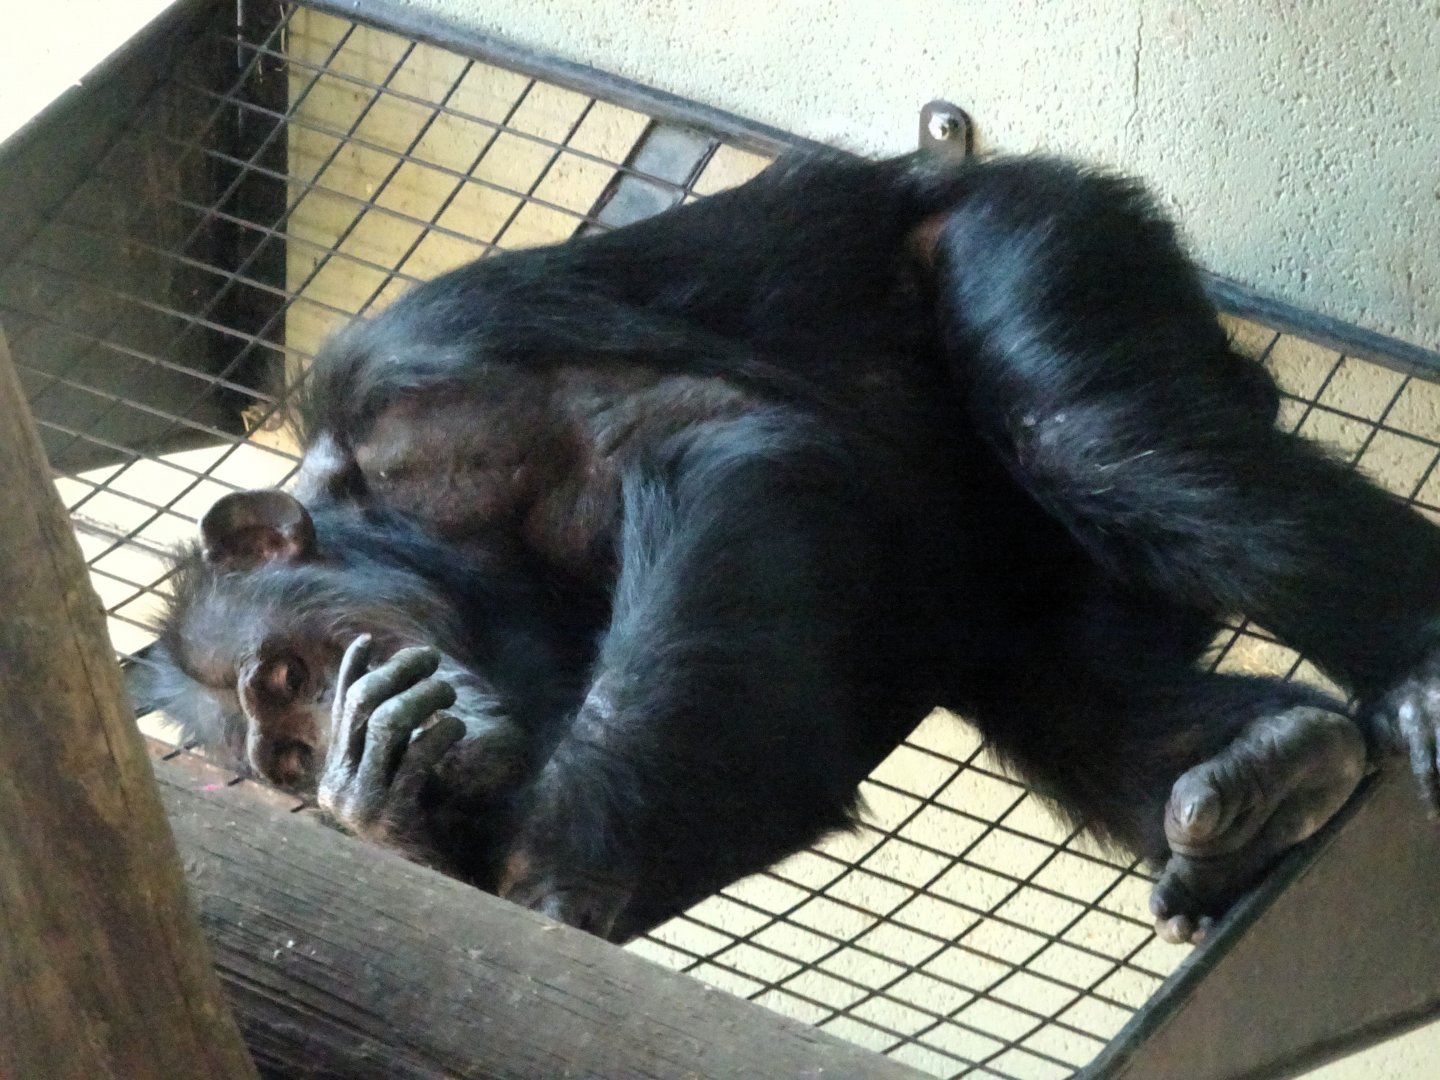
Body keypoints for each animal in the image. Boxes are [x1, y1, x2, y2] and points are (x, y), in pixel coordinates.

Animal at [139, 149, 1440, 946]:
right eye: (288, 759)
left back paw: (1416, 670)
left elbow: (716, 446)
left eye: (292, 676)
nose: (327, 741)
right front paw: (391, 810)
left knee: (1106, 442)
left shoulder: (446, 415)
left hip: (1042, 235)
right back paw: (1269, 769)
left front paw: (551, 855)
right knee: (1066, 695)